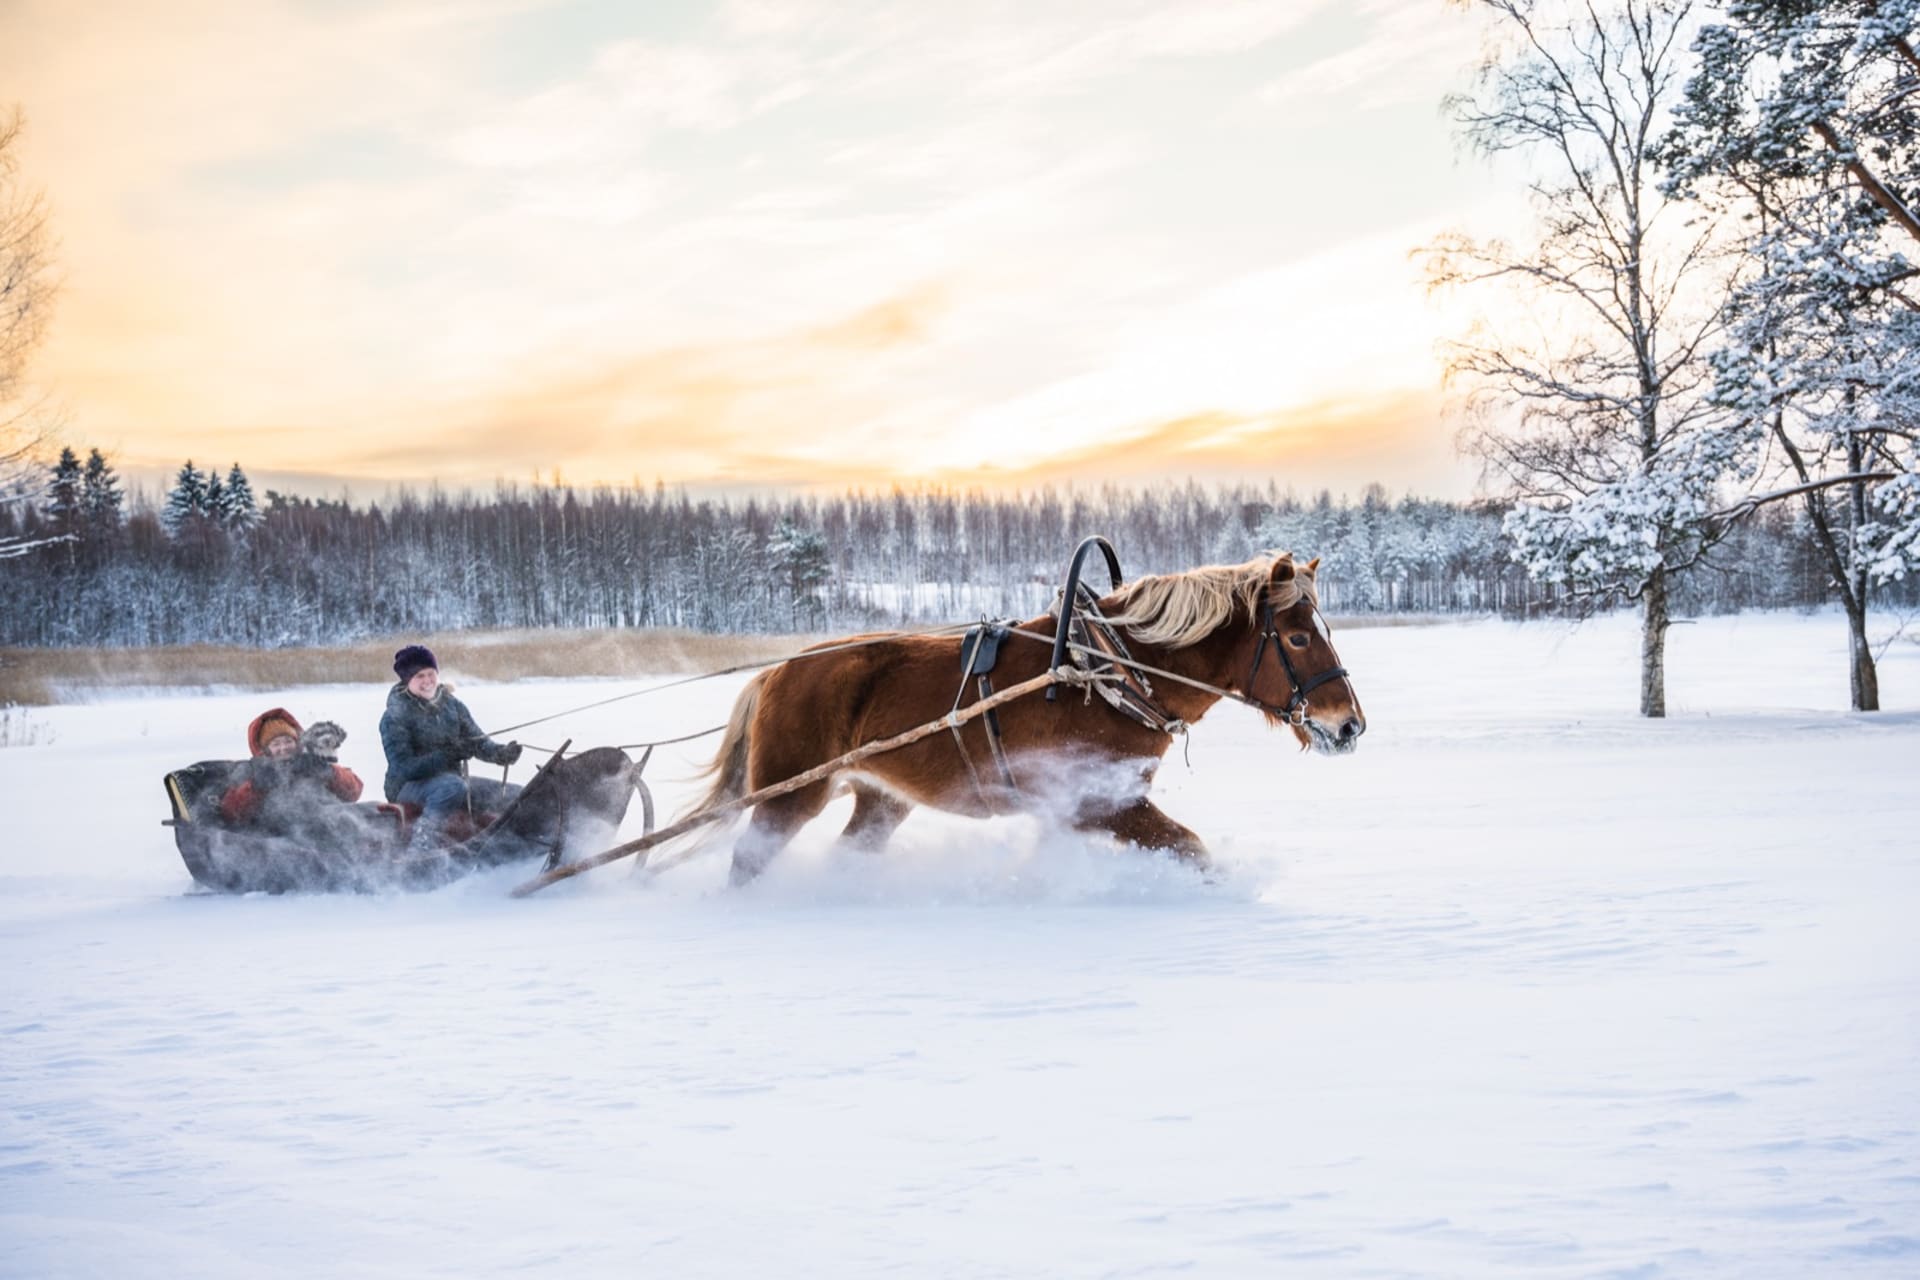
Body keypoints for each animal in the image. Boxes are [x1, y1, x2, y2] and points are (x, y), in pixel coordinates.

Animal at [683, 552, 1359, 890]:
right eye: (1298, 637)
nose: (1350, 724)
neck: (1109, 671)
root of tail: (776, 673)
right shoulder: (1099, 804)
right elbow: (1192, 848)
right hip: (789, 796)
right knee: (748, 859)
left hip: (881, 800)